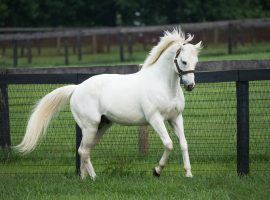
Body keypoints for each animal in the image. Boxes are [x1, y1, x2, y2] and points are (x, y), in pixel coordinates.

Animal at [15, 28, 201, 180]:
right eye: (184, 61)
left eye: (196, 61)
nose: (190, 86)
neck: (163, 85)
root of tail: (77, 88)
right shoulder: (155, 118)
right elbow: (169, 144)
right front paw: (156, 171)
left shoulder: (175, 118)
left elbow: (184, 144)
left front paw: (188, 173)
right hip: (90, 126)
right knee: (83, 151)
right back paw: (94, 178)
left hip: (101, 126)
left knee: (84, 150)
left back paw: (84, 178)